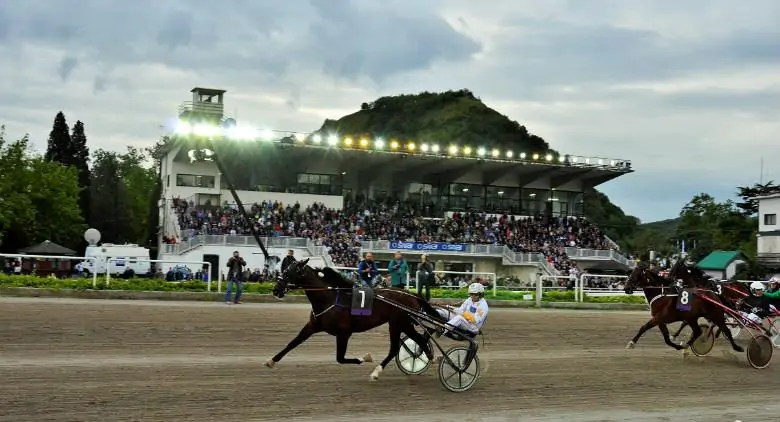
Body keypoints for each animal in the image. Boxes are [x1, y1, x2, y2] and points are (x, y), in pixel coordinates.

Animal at [266, 258, 444, 380]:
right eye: (284, 269)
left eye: (289, 272)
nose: (276, 290)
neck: (329, 298)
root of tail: (412, 294)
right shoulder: (312, 325)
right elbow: (293, 343)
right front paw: (271, 361)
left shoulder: (344, 333)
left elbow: (340, 358)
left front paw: (364, 358)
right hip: (400, 324)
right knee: (415, 342)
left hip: (400, 323)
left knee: (407, 344)